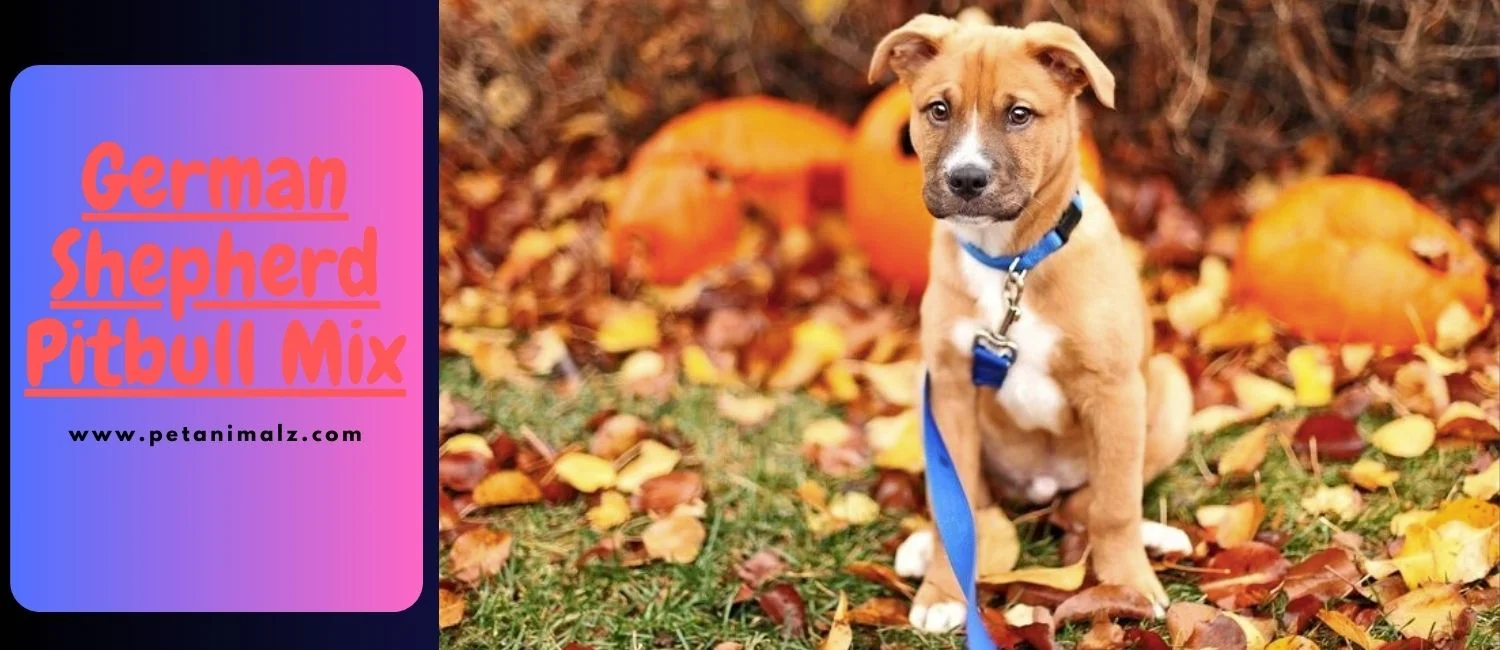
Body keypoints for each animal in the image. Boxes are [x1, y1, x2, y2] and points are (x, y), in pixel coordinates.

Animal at [870, 15, 1194, 633]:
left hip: (1168, 387)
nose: (966, 179)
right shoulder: (950, 387)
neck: (1011, 265)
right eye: (938, 110)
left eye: (1019, 114)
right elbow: (955, 508)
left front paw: (1128, 584)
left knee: (1093, 499)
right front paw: (942, 590)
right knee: (982, 503)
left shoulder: (1114, 392)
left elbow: (1116, 505)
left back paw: (1153, 537)